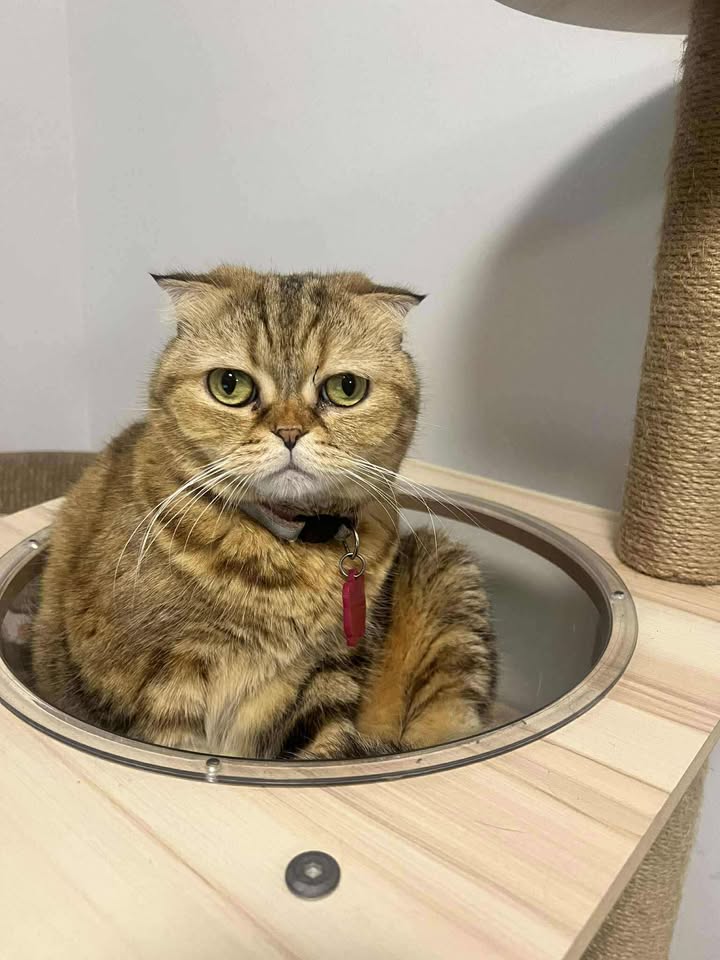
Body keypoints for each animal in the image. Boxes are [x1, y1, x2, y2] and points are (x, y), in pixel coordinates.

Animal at [31, 266, 496, 759]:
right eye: (229, 385)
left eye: (346, 388)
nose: (289, 432)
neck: (290, 555)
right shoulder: (165, 678)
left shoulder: (327, 673)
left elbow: (326, 745)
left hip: (445, 573)